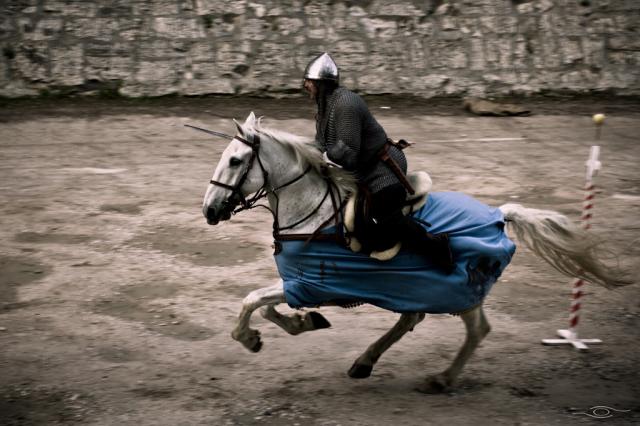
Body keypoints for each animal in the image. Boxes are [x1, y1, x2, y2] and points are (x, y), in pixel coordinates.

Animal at [201, 112, 632, 392]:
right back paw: (366, 362)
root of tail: (499, 214)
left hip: (459, 289)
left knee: (476, 329)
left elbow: (251, 301)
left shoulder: (310, 283)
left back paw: (442, 378)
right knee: (412, 317)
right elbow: (266, 306)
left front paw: (251, 338)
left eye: (236, 160)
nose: (209, 210)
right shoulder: (299, 284)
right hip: (416, 286)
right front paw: (301, 323)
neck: (313, 210)